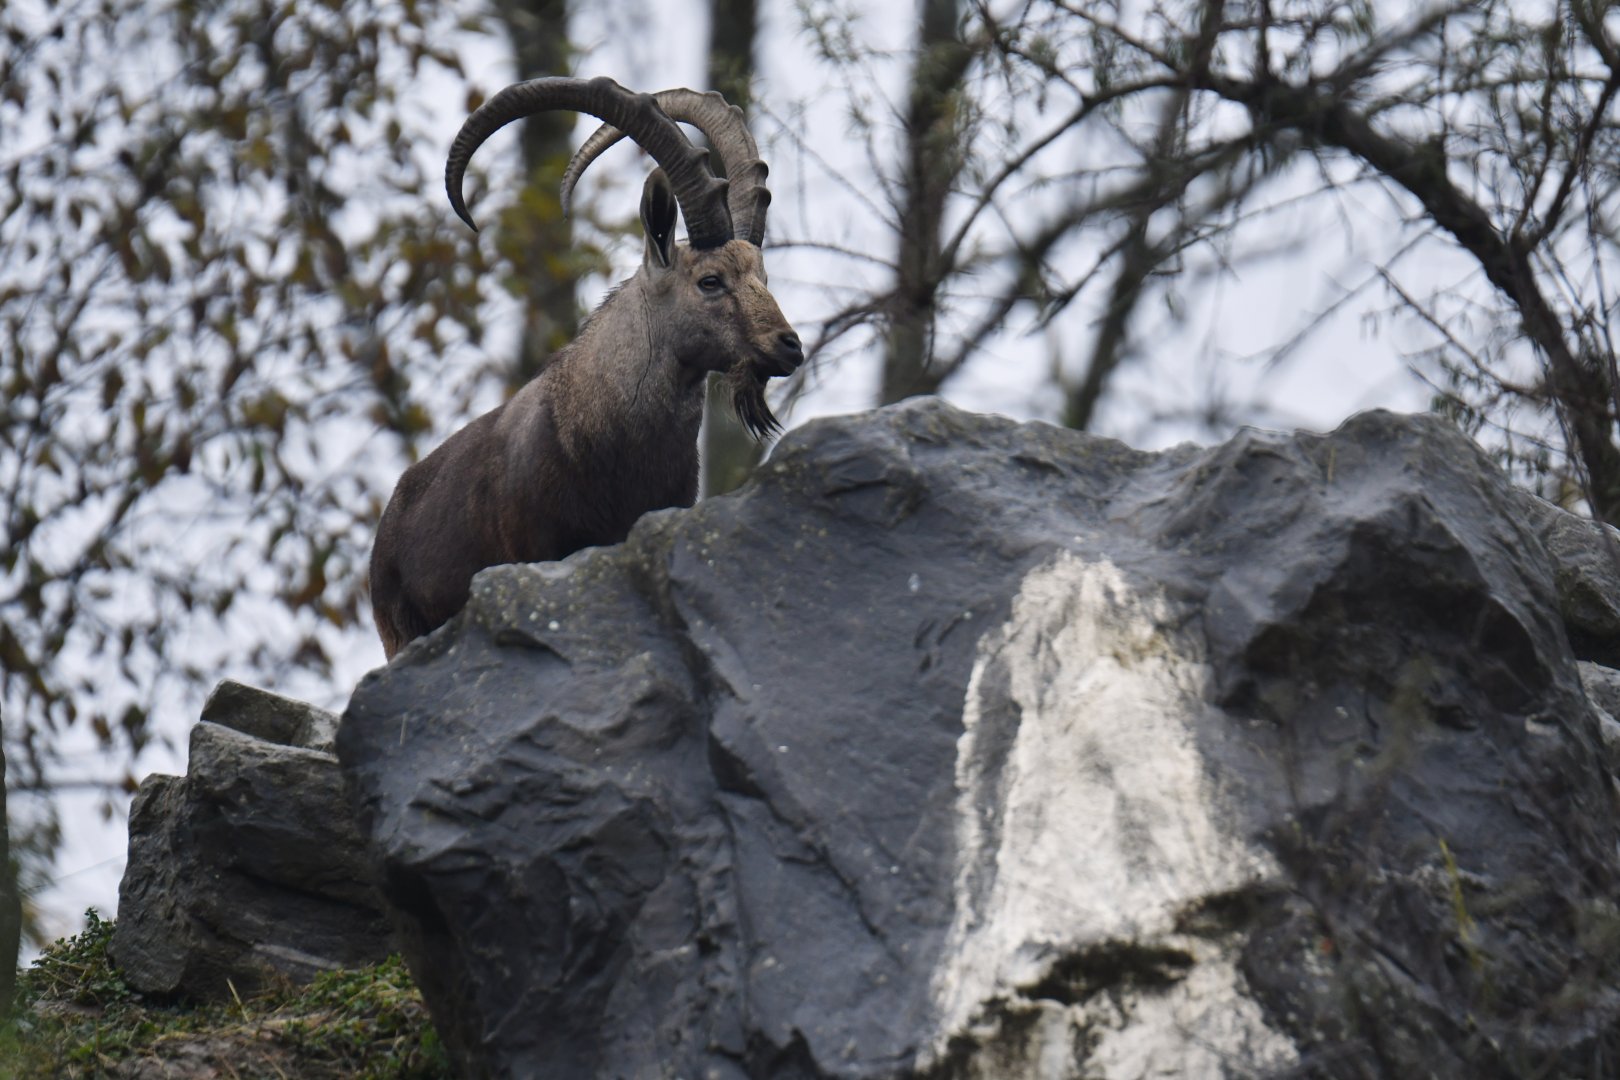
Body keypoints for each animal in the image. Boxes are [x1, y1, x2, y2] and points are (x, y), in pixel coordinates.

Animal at [370, 77, 801, 659]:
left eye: (763, 277)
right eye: (710, 280)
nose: (789, 347)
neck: (607, 432)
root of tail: (387, 525)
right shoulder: (539, 550)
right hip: (399, 632)